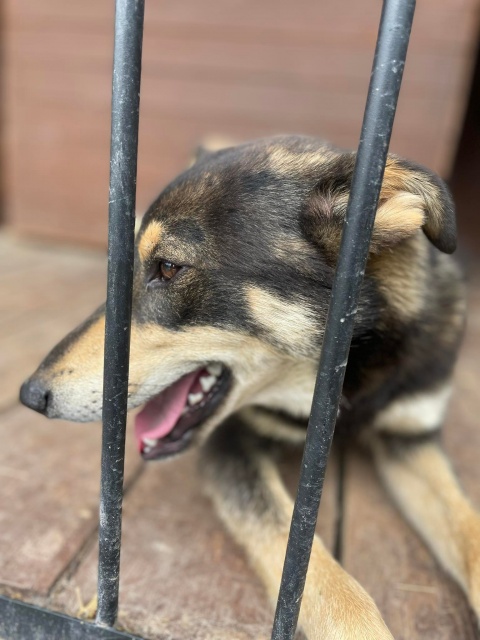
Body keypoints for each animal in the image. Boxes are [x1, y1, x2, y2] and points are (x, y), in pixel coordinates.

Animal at [20, 135, 480, 639]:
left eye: (168, 267)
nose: (30, 395)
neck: (350, 379)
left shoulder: (410, 438)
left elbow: (469, 532)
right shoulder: (233, 444)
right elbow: (324, 582)